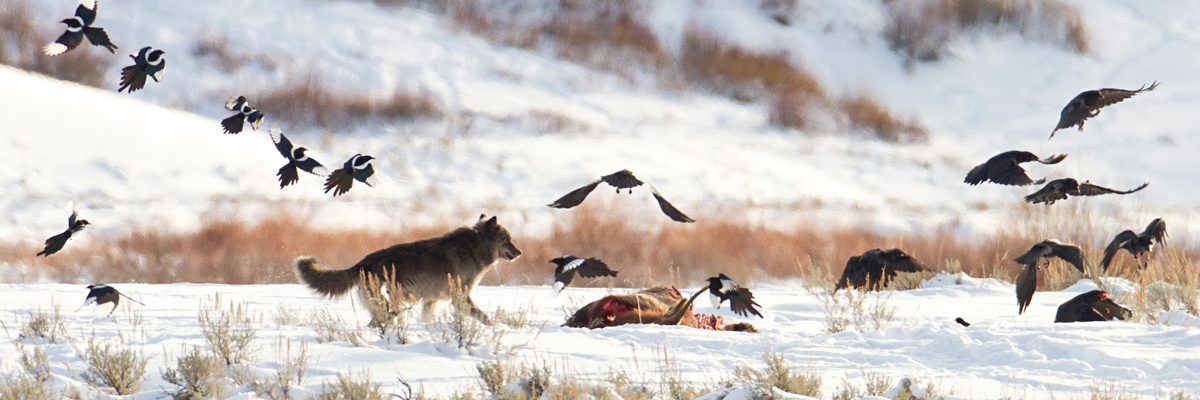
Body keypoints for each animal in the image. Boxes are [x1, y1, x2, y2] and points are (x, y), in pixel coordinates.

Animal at [295, 215, 521, 325]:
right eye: (507, 239)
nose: (519, 252)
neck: (476, 246)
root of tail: (361, 263)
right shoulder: (460, 298)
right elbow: (486, 318)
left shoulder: (431, 300)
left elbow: (426, 320)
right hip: (390, 306)